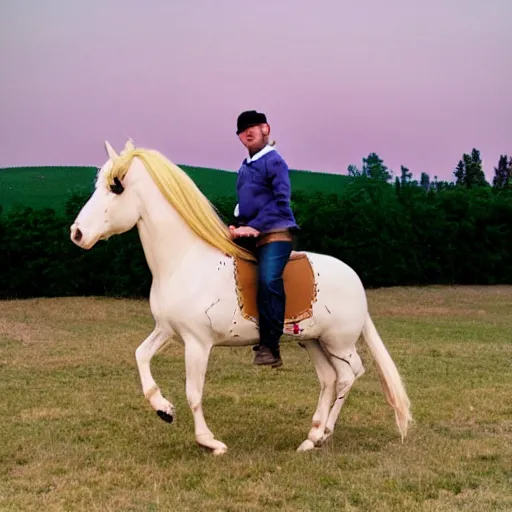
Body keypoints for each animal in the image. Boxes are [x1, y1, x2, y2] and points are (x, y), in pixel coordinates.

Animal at [70, 138, 412, 454]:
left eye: (116, 187)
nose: (77, 233)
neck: (184, 260)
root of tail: (355, 279)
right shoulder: (166, 330)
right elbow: (140, 355)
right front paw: (163, 409)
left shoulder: (197, 343)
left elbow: (194, 392)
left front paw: (210, 442)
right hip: (313, 340)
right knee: (330, 378)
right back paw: (313, 435)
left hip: (339, 343)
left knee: (349, 375)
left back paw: (321, 434)